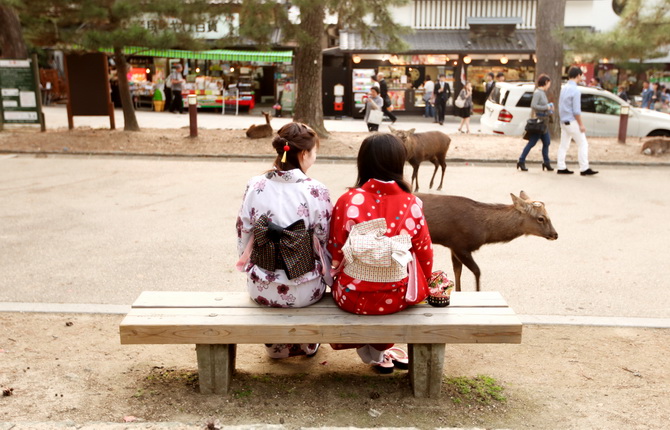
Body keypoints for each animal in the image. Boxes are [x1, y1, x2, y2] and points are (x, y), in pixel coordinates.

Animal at [422, 191, 560, 292]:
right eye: (541, 218)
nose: (555, 234)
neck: (484, 232)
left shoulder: (453, 247)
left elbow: (457, 272)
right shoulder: (459, 245)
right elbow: (477, 271)